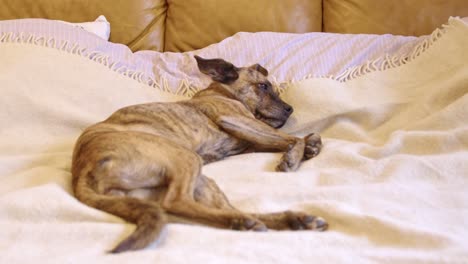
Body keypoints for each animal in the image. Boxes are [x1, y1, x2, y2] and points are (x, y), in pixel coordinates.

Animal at [70, 56, 326, 254]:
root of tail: (82, 173)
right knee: (176, 203)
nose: (290, 109)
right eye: (263, 86)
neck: (223, 92)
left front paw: (310, 145)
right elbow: (291, 138)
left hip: (202, 182)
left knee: (218, 211)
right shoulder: (235, 120)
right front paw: (294, 156)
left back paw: (288, 220)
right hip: (186, 158)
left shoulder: (249, 139)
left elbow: (286, 139)